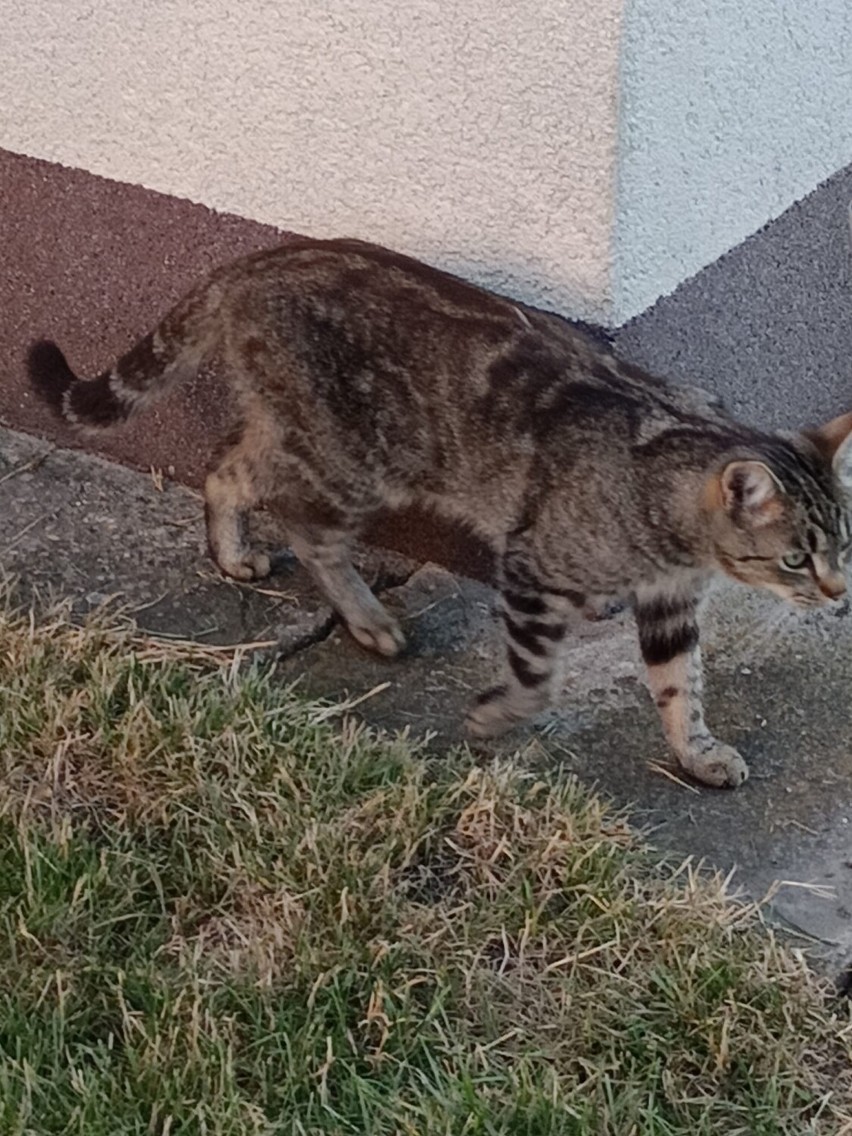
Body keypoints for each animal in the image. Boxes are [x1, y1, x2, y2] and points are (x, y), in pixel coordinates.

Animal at [28, 237, 852, 790]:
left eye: (842, 545)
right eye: (795, 557)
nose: (839, 594)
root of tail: (254, 260)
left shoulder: (671, 603)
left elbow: (682, 687)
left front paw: (696, 752)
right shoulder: (531, 565)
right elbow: (537, 677)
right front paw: (495, 717)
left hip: (295, 431)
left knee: (225, 467)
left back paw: (233, 554)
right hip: (353, 458)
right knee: (306, 525)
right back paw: (366, 618)